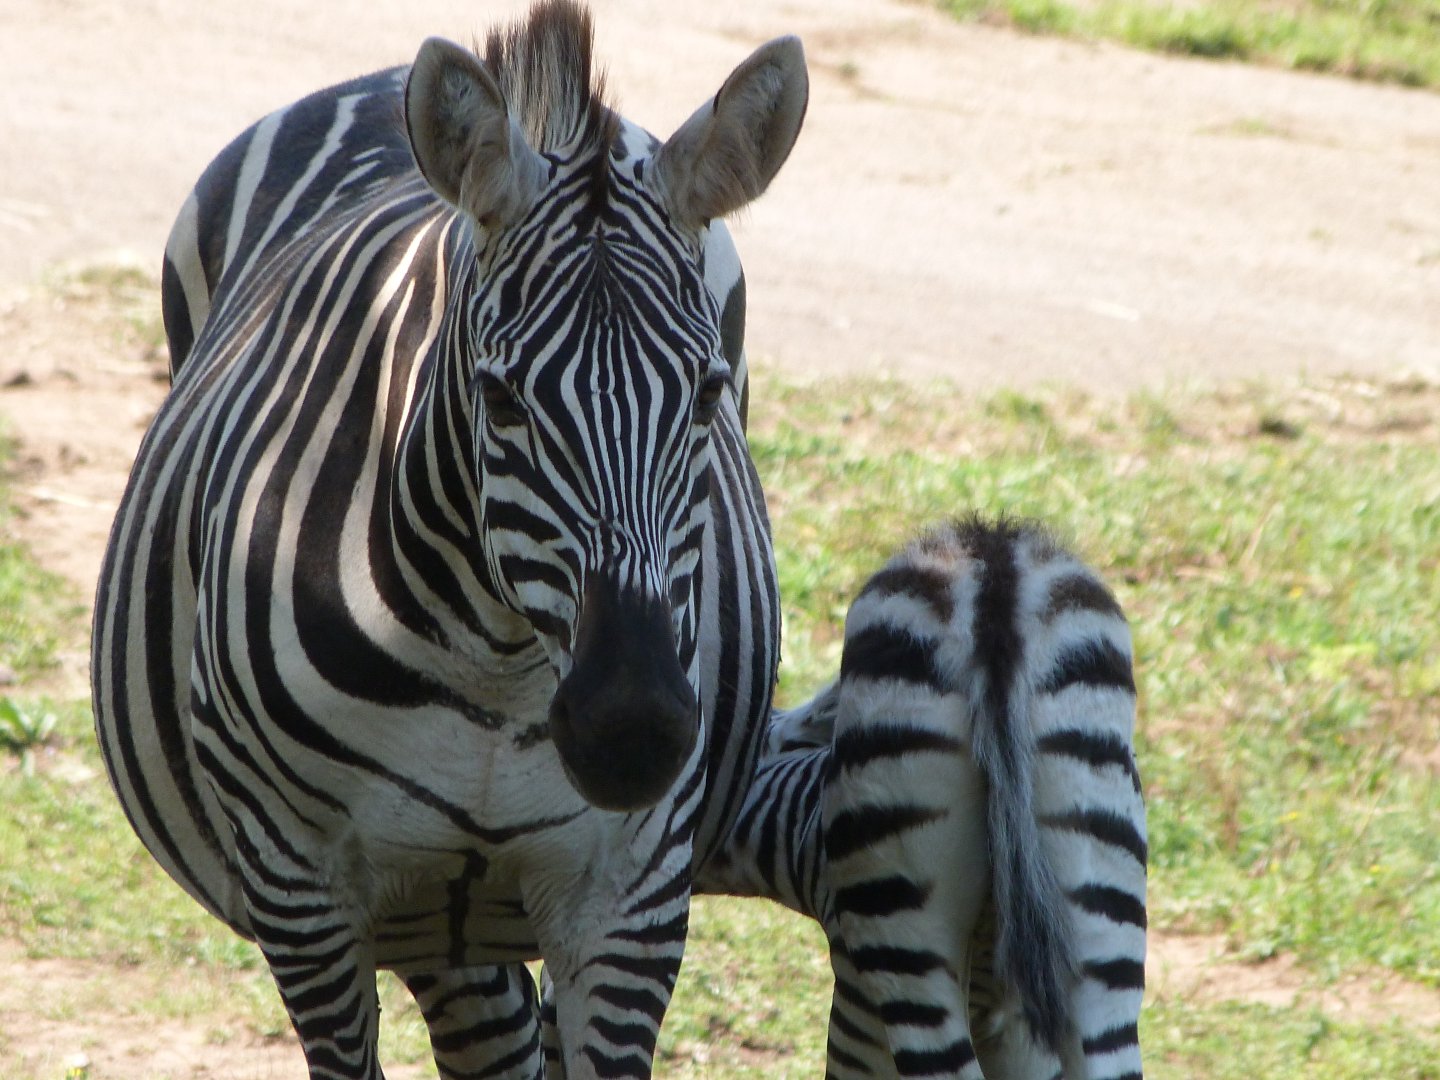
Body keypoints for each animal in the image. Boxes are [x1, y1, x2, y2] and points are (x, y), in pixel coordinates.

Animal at [91, 3, 806, 1077]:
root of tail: (383, 81)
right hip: (427, 911)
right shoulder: (300, 893)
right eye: (500, 398)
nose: (632, 732)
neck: (501, 669)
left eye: (708, 393)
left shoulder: (633, 896)